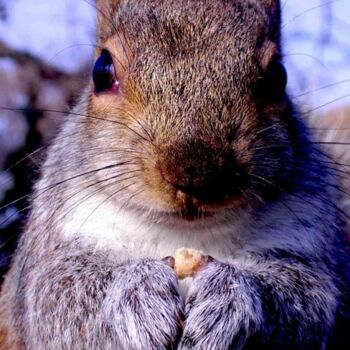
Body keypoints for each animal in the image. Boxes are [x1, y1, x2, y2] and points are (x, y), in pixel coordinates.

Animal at [0, 0, 350, 348]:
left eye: (278, 76)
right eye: (101, 70)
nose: (197, 175)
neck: (183, 233)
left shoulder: (304, 244)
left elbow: (306, 303)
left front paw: (229, 297)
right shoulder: (55, 242)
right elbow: (57, 298)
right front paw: (138, 291)